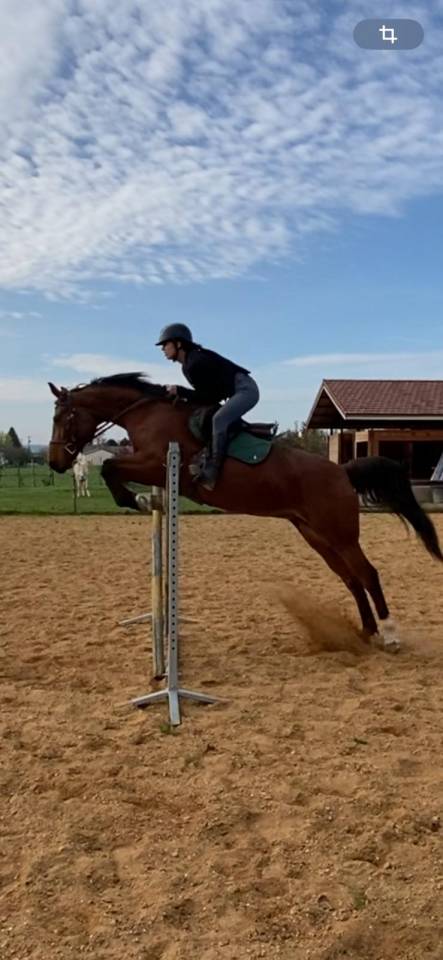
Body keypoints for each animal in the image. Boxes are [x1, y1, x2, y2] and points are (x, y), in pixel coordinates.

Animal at [48, 373, 443, 651]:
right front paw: (139, 501)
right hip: (316, 536)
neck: (148, 413)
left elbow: (110, 466)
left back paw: (389, 635)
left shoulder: (155, 464)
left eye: (64, 418)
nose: (54, 463)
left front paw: (136, 500)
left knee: (368, 574)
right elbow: (111, 467)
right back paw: (365, 633)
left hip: (340, 534)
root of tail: (342, 472)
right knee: (351, 578)